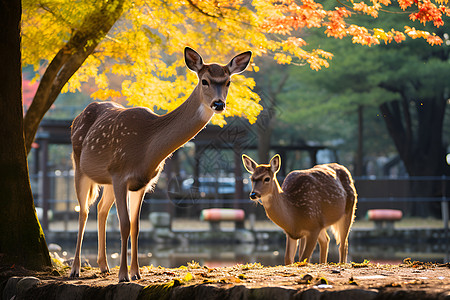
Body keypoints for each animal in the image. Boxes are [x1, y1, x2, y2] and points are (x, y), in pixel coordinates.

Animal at [71, 47, 253, 282]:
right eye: (204, 80)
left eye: (228, 81)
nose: (219, 104)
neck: (147, 146)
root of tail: (78, 117)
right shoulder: (120, 175)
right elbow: (124, 224)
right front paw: (123, 275)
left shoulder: (141, 183)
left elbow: (136, 226)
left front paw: (136, 273)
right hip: (79, 166)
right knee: (83, 211)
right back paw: (75, 269)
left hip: (107, 180)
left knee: (101, 209)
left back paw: (103, 266)